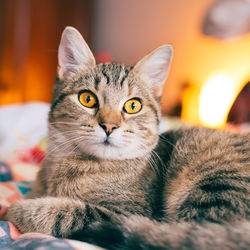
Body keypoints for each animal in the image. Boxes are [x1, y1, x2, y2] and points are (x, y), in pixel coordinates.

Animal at [6, 26, 250, 249]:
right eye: (87, 99)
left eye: (133, 105)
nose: (109, 126)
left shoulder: (128, 212)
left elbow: (68, 211)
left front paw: (19, 209)